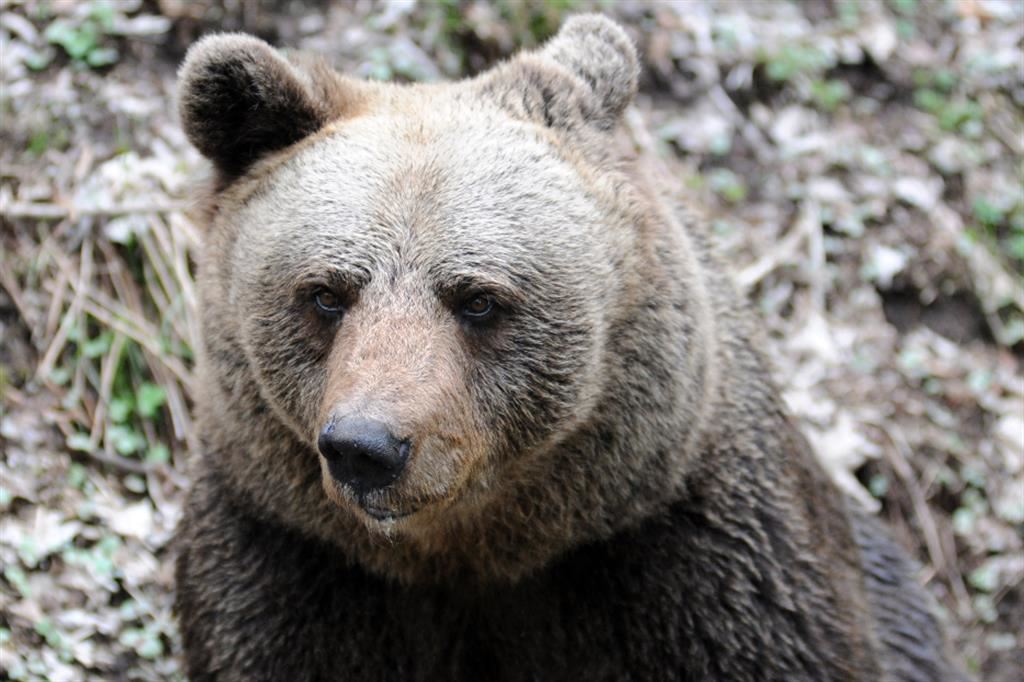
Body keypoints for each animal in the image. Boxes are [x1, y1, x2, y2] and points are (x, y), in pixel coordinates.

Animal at [173, 15, 965, 682]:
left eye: (478, 298)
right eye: (326, 293)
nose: (366, 447)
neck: (471, 555)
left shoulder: (696, 566)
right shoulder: (294, 561)